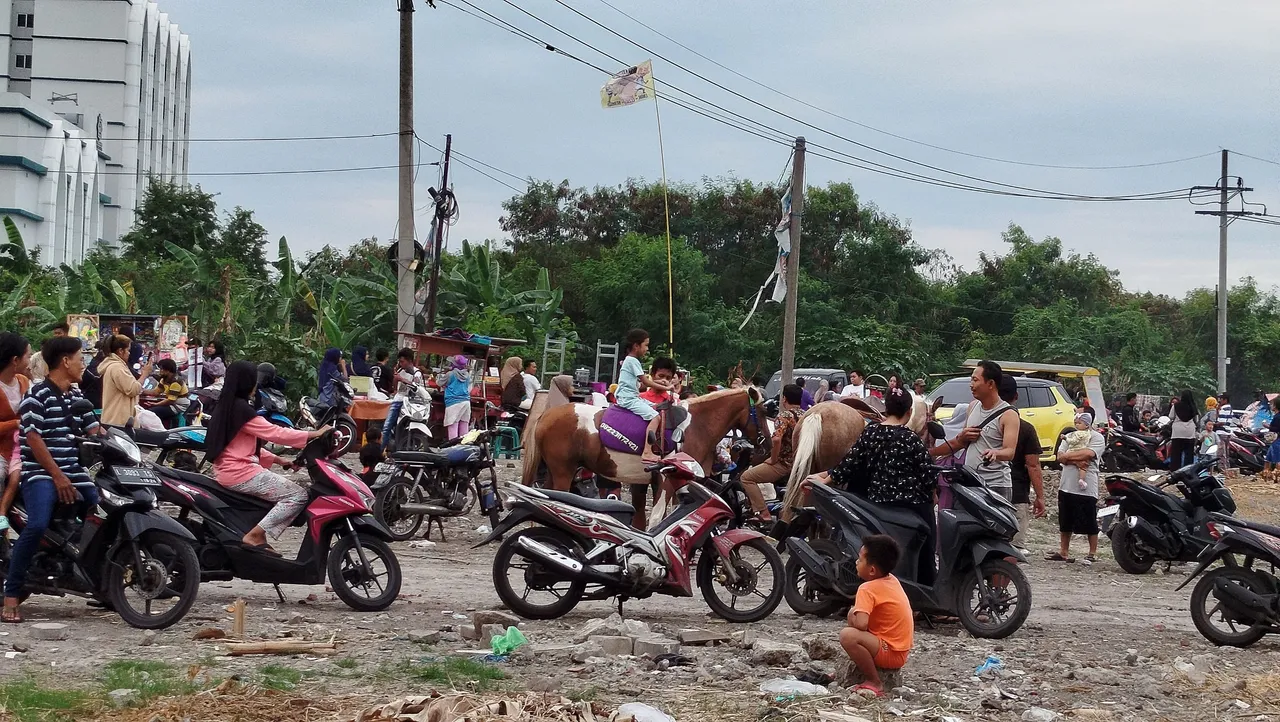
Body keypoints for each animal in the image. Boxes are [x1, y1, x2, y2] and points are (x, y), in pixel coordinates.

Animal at [519, 386, 768, 527]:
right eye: (764, 411)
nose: (766, 442)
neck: (693, 426)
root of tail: (545, 416)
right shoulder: (668, 479)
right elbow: (658, 517)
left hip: (554, 471)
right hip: (564, 472)